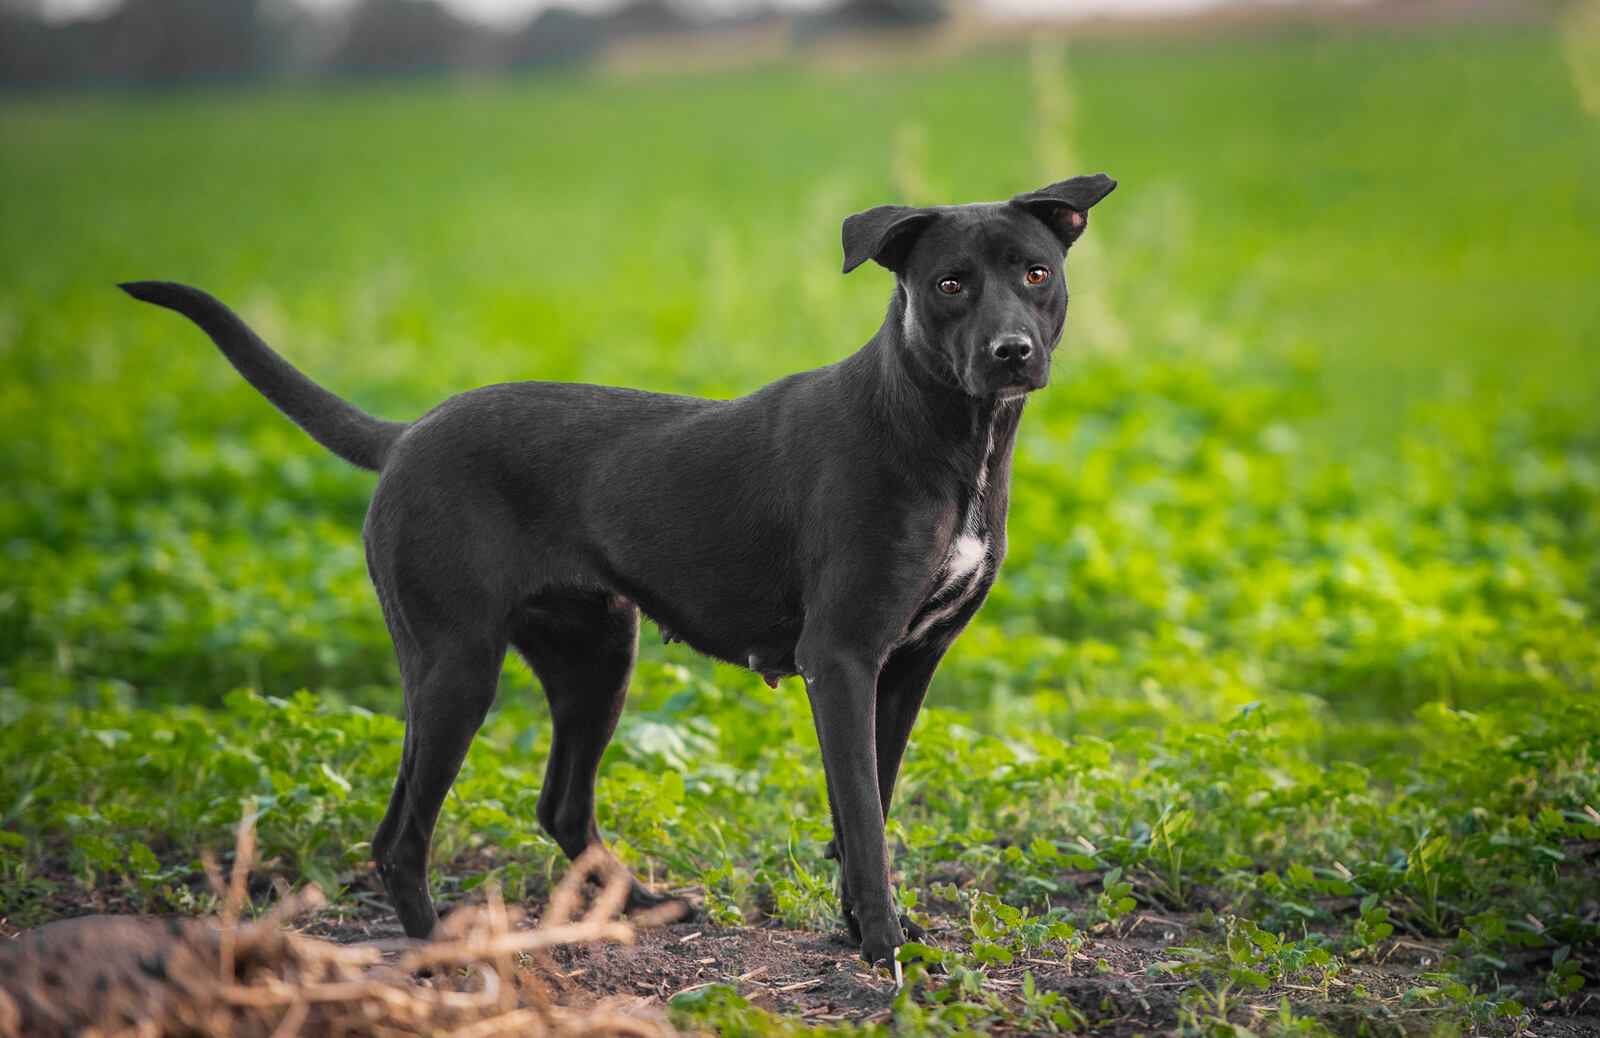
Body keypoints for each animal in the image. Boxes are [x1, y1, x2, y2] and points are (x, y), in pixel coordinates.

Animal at [121, 174, 1113, 966]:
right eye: (949, 284)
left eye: (1034, 272)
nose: (1011, 353)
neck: (946, 436)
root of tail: (405, 437)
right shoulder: (839, 661)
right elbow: (864, 823)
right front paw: (879, 945)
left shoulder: (906, 667)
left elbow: (865, 803)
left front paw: (866, 928)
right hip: (456, 666)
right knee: (400, 835)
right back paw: (447, 956)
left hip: (596, 655)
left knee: (559, 805)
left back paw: (635, 905)